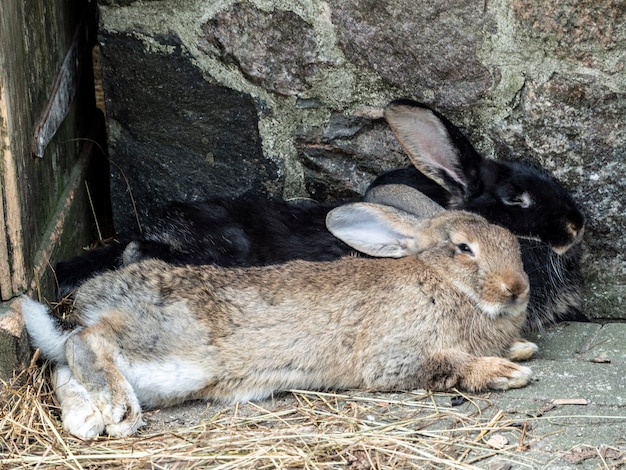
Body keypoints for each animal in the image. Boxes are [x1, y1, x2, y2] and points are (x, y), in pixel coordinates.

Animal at [20, 204, 536, 438]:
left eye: (512, 240)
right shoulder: (395, 355)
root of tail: (99, 296)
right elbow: (447, 364)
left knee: (62, 364)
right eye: (464, 248)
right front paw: (508, 372)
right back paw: (119, 411)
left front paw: (520, 348)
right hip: (166, 347)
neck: (445, 283)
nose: (517, 288)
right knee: (82, 342)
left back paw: (89, 419)